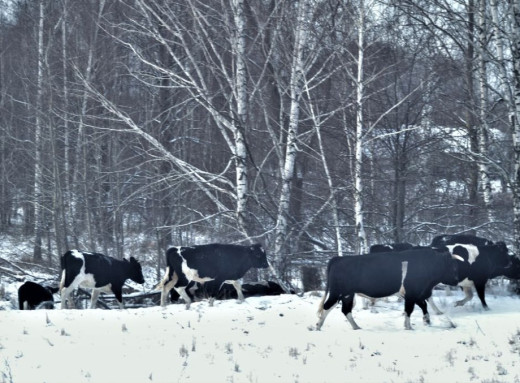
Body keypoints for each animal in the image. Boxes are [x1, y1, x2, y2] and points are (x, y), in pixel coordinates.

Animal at [314, 248, 462, 332]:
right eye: (452, 266)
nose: (456, 280)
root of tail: (339, 258)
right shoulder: (412, 293)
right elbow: (410, 309)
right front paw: (409, 327)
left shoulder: (416, 294)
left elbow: (423, 306)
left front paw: (427, 320)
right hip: (337, 292)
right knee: (327, 307)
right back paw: (318, 326)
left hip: (347, 294)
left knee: (345, 310)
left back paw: (356, 327)